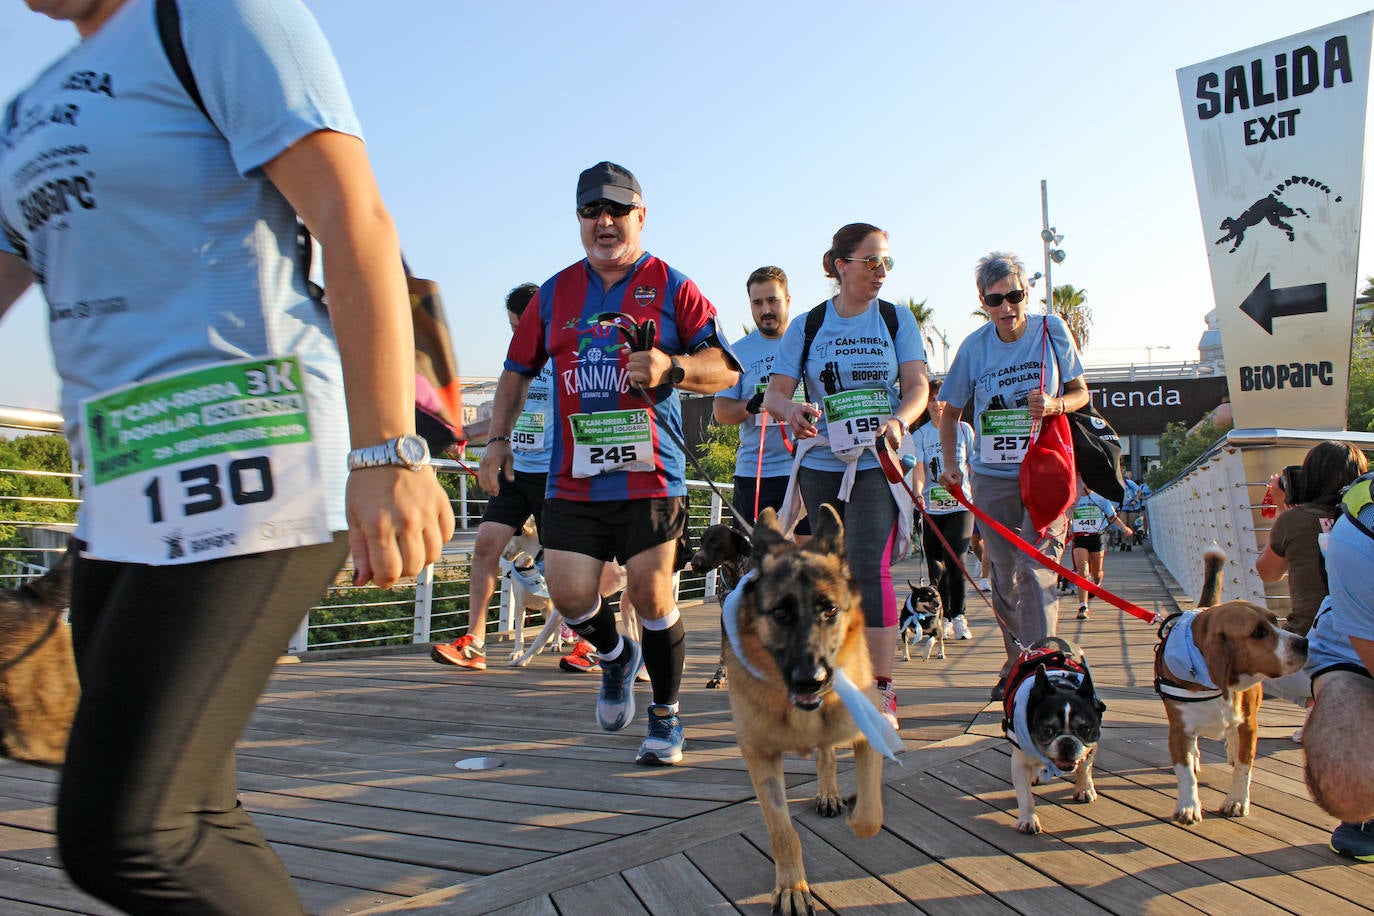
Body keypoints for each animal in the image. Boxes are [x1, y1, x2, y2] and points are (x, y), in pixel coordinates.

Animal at [725, 508, 884, 916]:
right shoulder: (760, 757)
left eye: (830, 610)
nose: (812, 682)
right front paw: (792, 888)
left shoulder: (869, 731)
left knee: (827, 754)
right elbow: (782, 830)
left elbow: (870, 816)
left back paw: (830, 793)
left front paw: (857, 817)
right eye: (780, 612)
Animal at [1154, 549, 1302, 829]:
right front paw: (1188, 806)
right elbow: (1185, 773)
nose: (1304, 643)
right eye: (1258, 632)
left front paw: (1236, 801)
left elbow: (1243, 767)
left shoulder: (1248, 725)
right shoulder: (1179, 730)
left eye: (1274, 621)